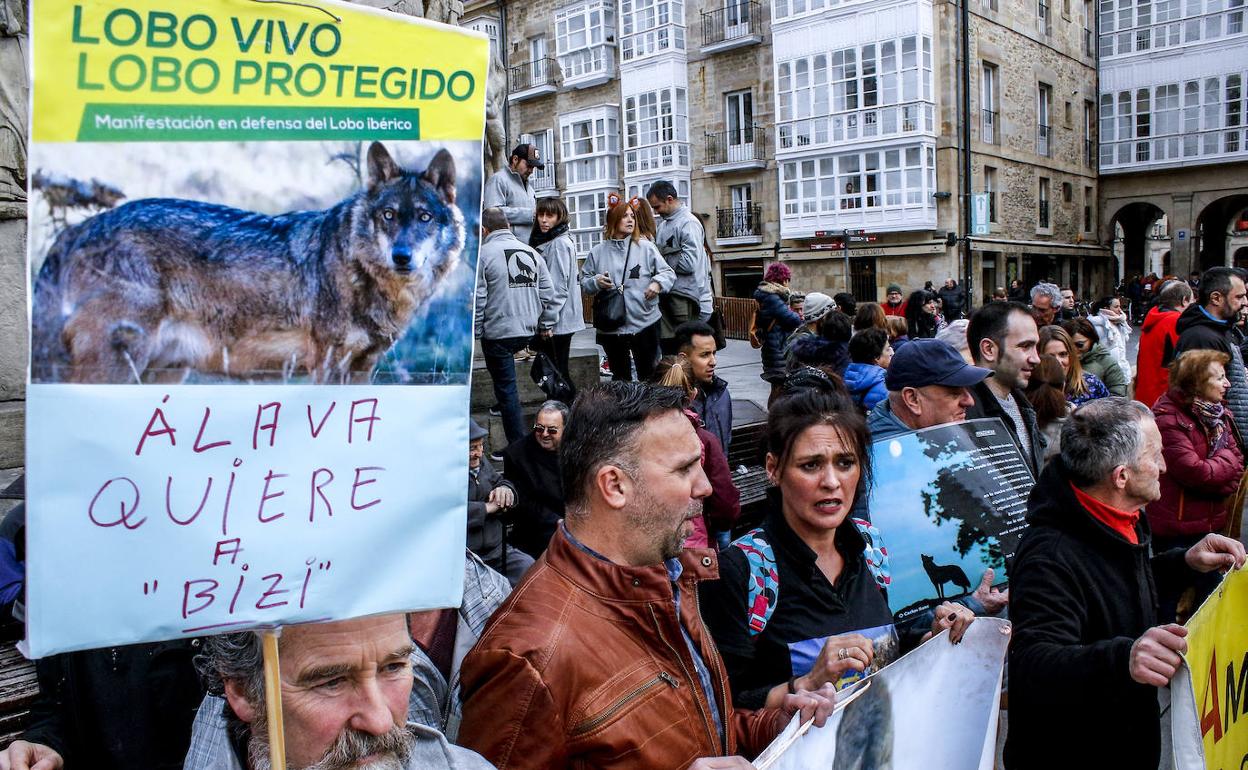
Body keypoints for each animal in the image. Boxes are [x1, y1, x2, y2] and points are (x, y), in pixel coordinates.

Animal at [34, 141, 466, 381]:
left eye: (424, 218)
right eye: (389, 215)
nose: (402, 257)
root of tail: (80, 228)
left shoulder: (363, 368)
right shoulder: (327, 367)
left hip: (164, 372)